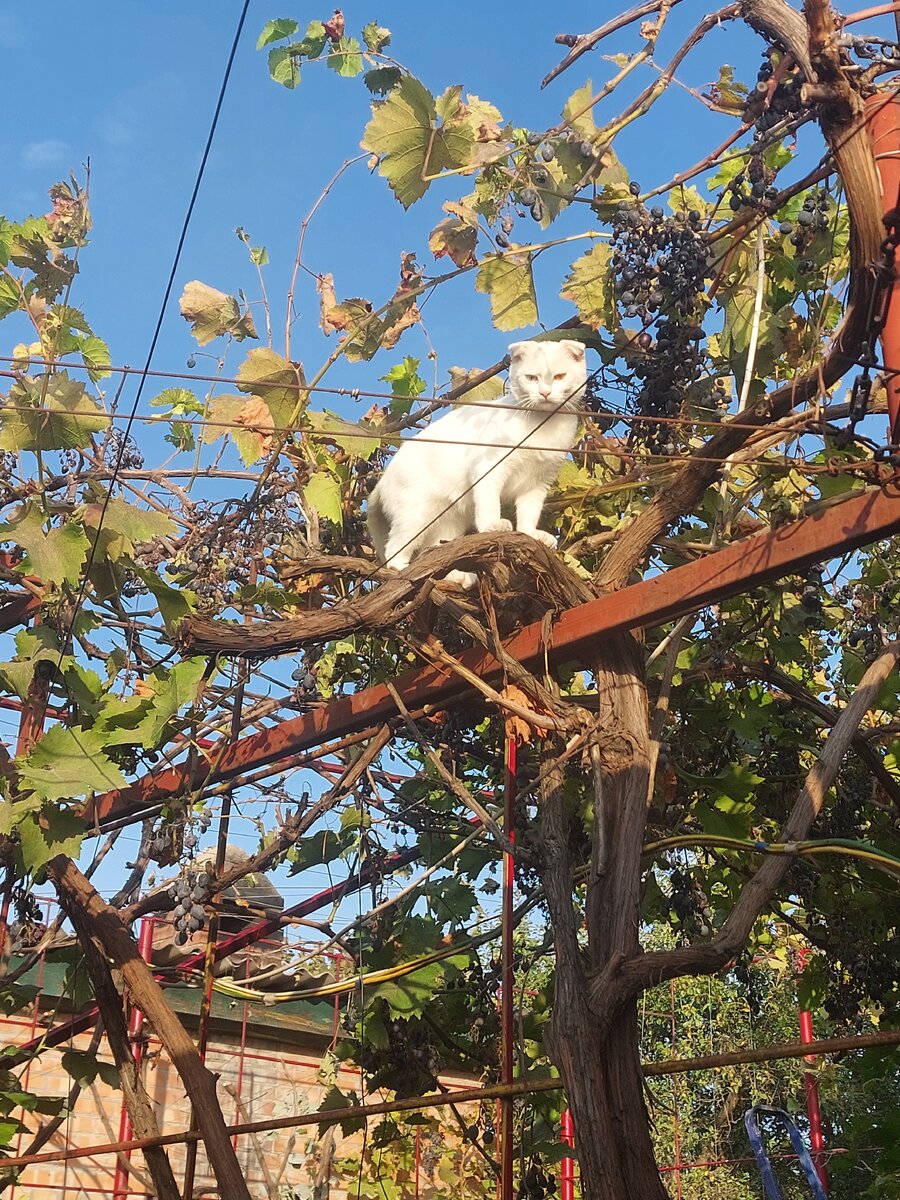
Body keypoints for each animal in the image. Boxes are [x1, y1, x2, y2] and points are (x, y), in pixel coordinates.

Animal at [367, 338, 585, 585]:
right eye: (531, 377)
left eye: (559, 376)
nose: (545, 392)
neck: (543, 426)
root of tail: (380, 483)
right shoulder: (489, 468)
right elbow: (489, 502)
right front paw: (493, 525)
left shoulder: (538, 483)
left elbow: (529, 513)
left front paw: (531, 533)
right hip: (415, 514)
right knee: (395, 551)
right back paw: (404, 571)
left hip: (447, 523)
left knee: (436, 553)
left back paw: (457, 577)